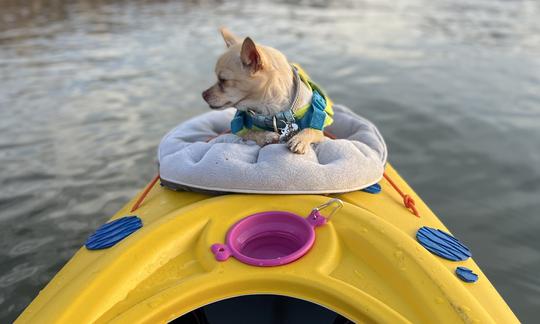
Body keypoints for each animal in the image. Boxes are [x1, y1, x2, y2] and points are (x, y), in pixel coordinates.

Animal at [200, 28, 332, 154]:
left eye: (223, 80)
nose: (203, 94)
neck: (270, 108)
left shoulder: (318, 126)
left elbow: (310, 130)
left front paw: (300, 140)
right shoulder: (238, 129)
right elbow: (250, 132)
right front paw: (266, 136)